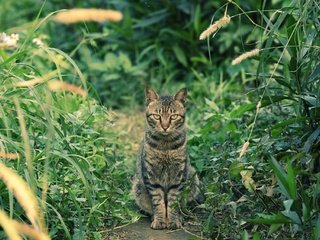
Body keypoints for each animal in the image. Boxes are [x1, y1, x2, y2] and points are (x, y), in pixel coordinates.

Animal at [131, 87, 199, 230]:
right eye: (157, 116)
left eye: (173, 116)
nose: (165, 126)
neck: (165, 146)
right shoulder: (151, 175)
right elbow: (158, 202)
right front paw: (160, 220)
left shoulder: (178, 175)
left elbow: (173, 202)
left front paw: (173, 220)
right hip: (137, 186)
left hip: (193, 177)